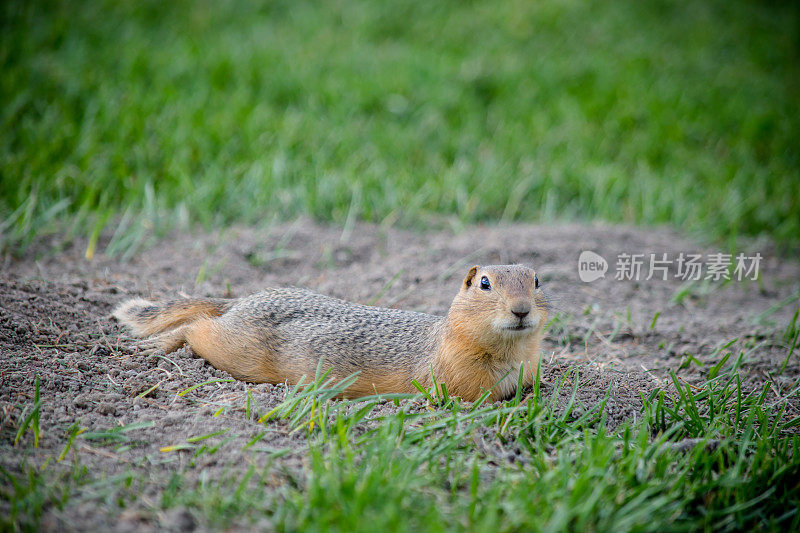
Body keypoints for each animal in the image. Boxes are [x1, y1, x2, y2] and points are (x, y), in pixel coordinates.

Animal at [112, 264, 548, 402]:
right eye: (485, 284)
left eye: (537, 280)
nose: (521, 309)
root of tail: (243, 301)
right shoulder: (458, 378)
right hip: (236, 351)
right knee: (194, 328)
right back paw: (160, 346)